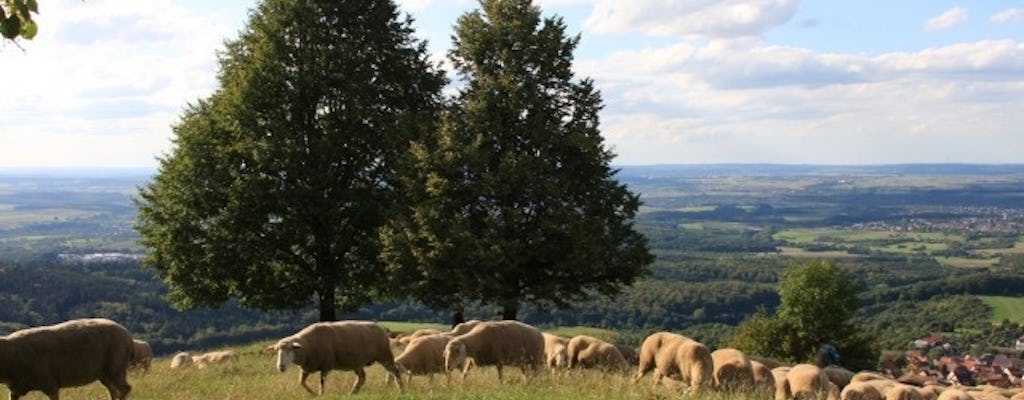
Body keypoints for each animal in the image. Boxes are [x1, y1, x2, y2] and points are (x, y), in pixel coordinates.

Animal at [0, 317, 134, 398]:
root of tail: (128, 336)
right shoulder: (15, 390)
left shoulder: (50, 383)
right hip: (105, 373)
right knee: (113, 390)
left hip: (116, 365)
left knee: (125, 388)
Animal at [264, 321, 403, 396]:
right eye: (277, 351)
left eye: (289, 351)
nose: (281, 367)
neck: (307, 346)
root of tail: (381, 328)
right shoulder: (306, 368)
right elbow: (301, 383)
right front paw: (313, 394)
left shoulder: (326, 365)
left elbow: (322, 382)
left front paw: (321, 394)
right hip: (358, 362)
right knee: (362, 377)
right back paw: (352, 392)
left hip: (384, 355)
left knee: (395, 371)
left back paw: (401, 389)